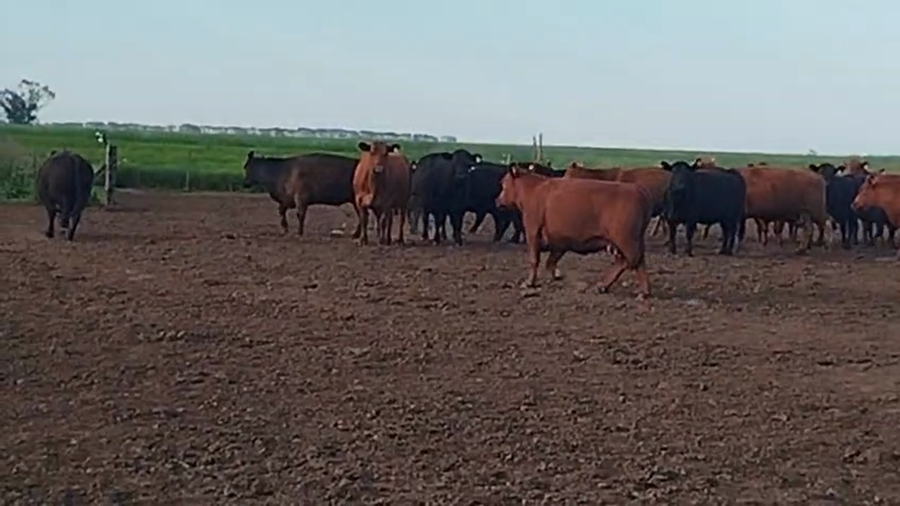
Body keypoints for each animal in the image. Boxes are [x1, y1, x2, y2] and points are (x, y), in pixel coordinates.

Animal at [495, 165, 653, 299]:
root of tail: (639, 191)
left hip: (627, 241)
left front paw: (529, 282)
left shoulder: (532, 232)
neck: (534, 189)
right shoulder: (560, 241)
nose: (497, 201)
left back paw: (636, 291)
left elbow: (534, 260)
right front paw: (556, 275)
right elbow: (551, 261)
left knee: (633, 261)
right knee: (629, 262)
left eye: (504, 185)